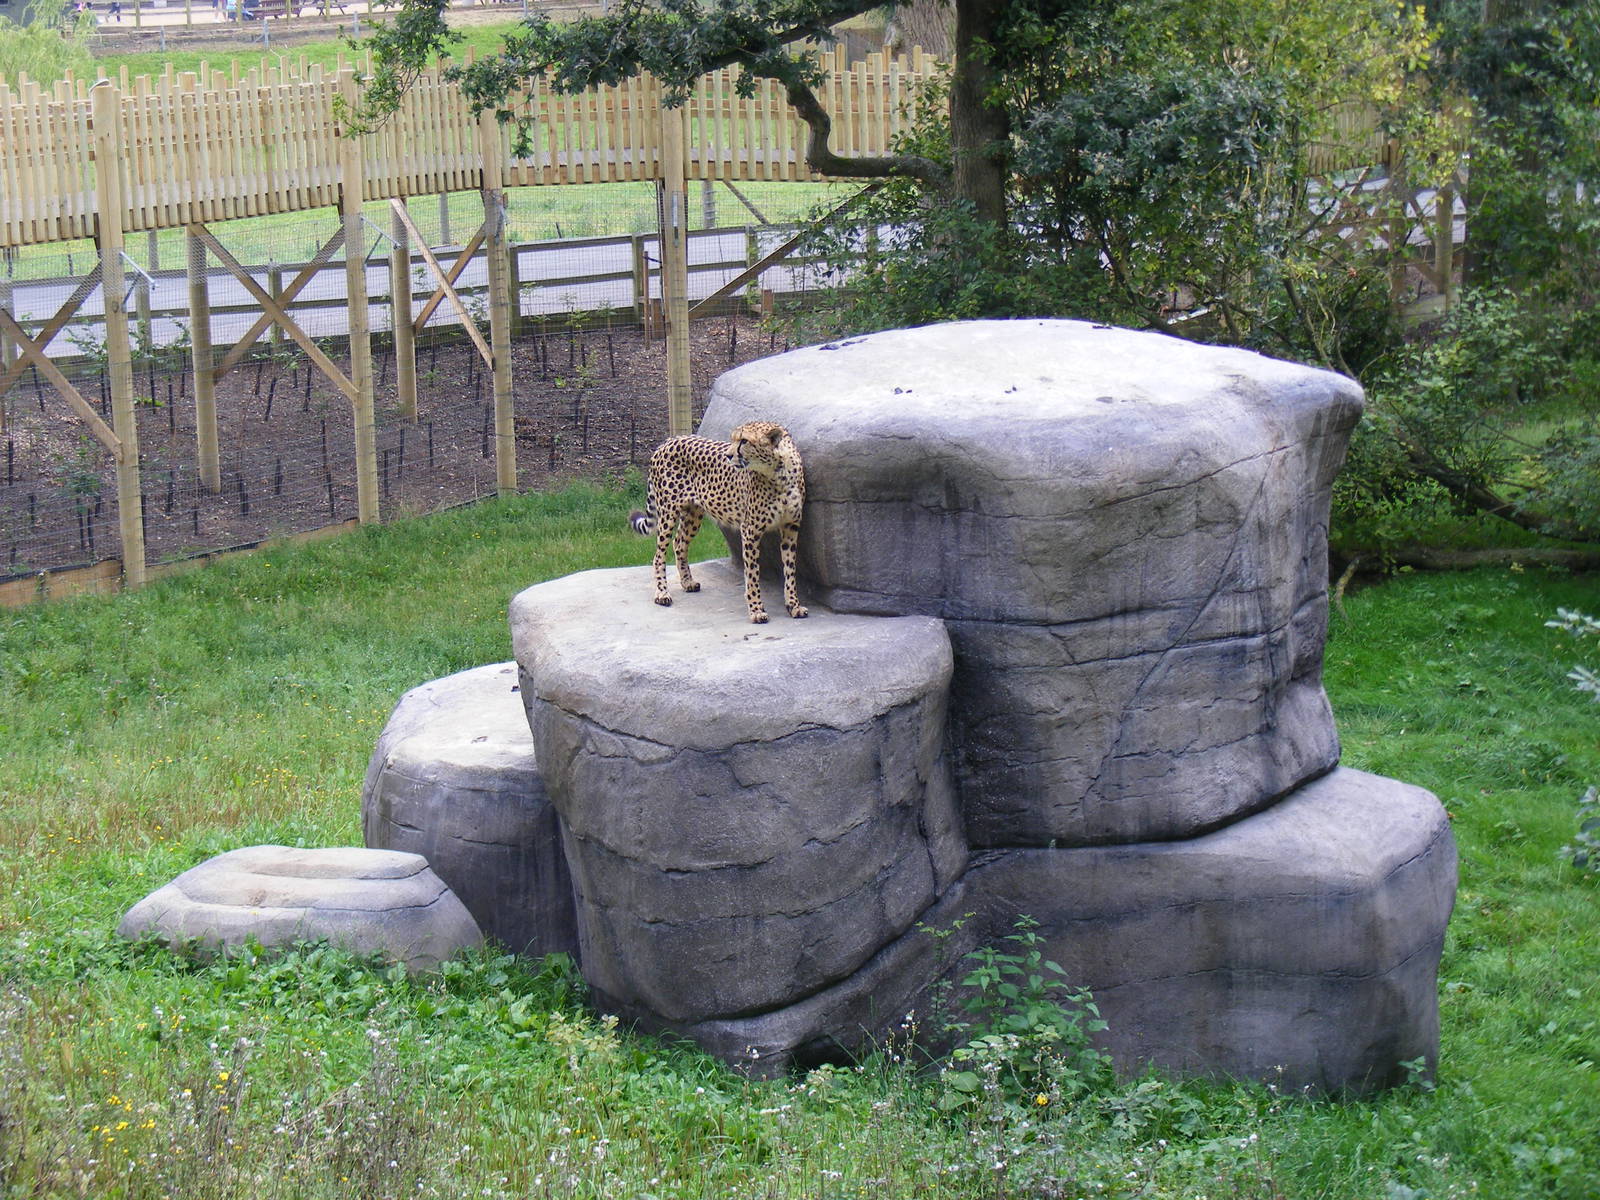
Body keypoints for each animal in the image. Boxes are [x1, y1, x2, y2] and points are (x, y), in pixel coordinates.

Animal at [629, 420, 808, 624]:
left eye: (744, 441)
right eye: (733, 439)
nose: (728, 455)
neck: (779, 473)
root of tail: (669, 440)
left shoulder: (791, 527)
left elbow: (790, 570)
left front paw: (793, 605)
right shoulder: (750, 530)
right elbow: (752, 573)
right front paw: (756, 610)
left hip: (693, 513)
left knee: (679, 543)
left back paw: (687, 582)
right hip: (668, 512)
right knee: (659, 554)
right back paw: (662, 593)